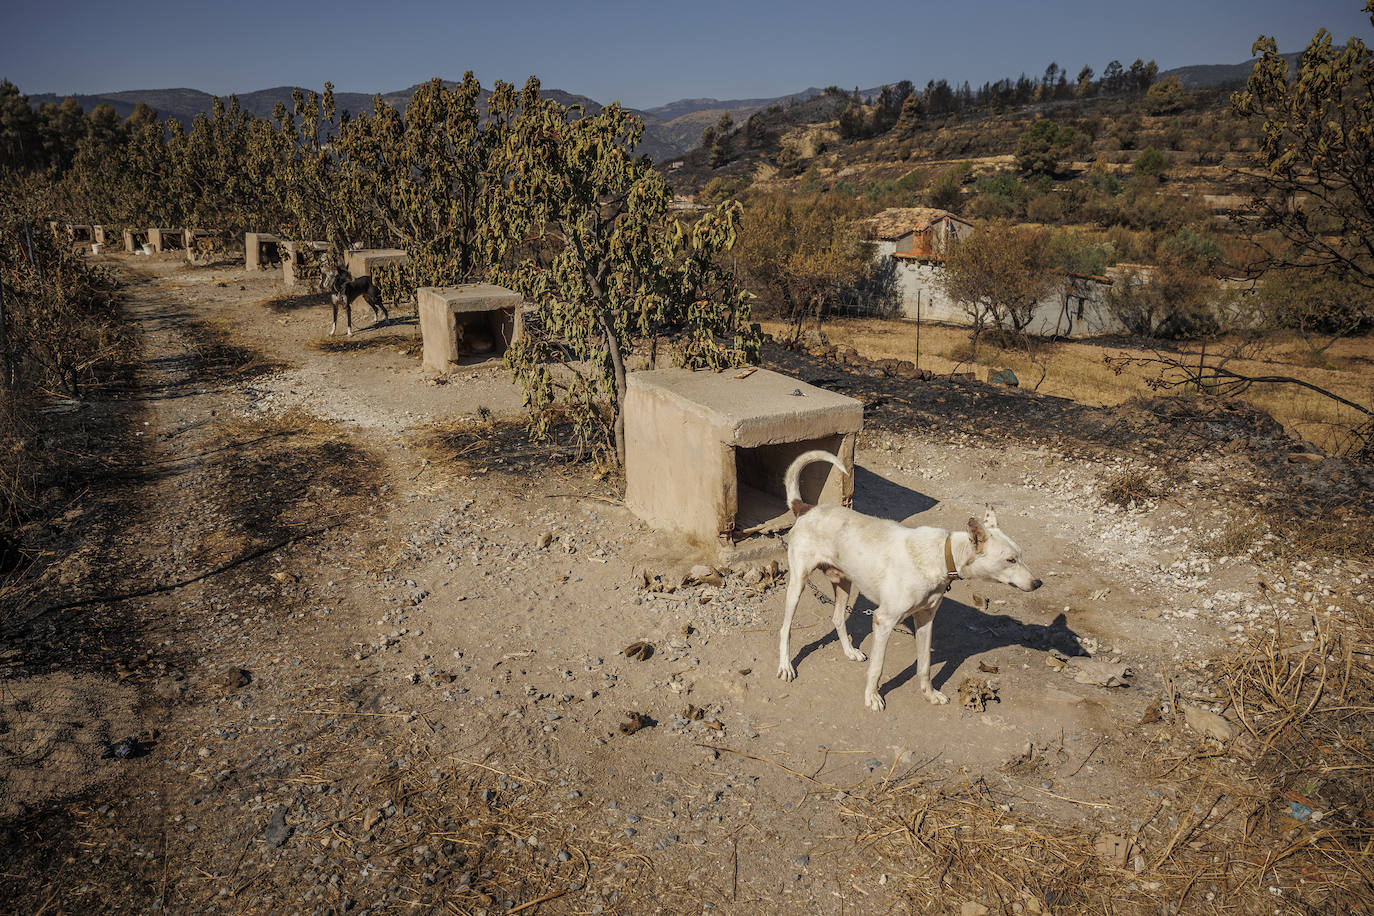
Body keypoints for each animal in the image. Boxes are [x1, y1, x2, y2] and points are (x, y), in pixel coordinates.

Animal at [780, 447, 1033, 714]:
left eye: (1020, 556)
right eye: (1010, 560)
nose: (1038, 583)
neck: (939, 556)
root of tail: (806, 508)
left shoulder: (925, 619)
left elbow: (925, 665)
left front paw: (930, 694)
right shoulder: (883, 620)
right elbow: (877, 667)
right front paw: (872, 697)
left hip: (843, 582)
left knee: (838, 618)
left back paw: (850, 651)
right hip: (798, 584)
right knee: (785, 628)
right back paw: (786, 666)